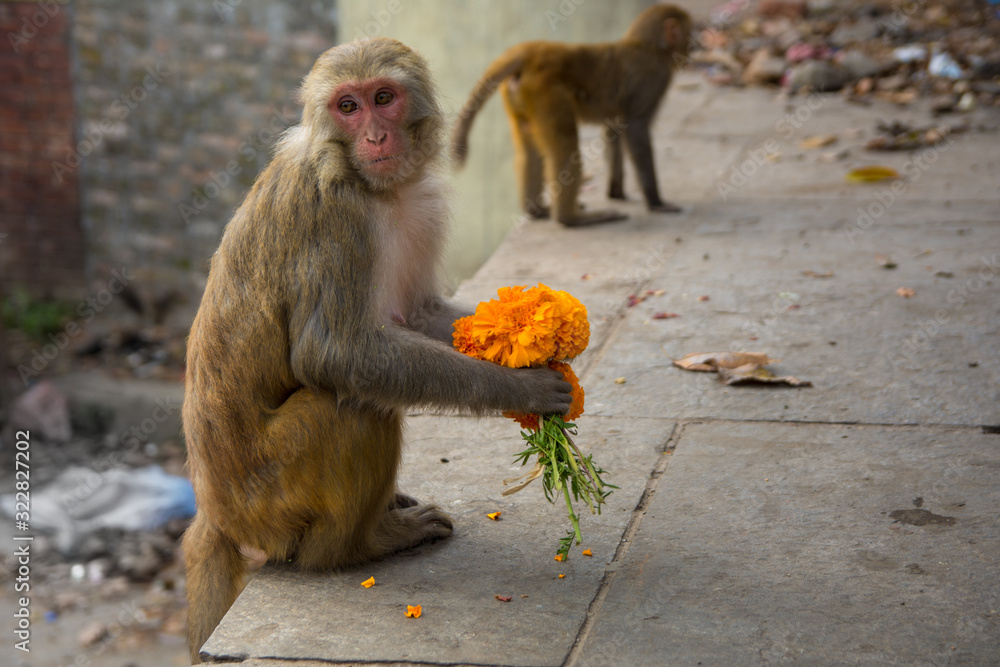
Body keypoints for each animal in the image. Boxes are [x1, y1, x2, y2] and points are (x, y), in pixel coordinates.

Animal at [181, 38, 573, 663]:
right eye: (347, 106)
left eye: (383, 98)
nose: (375, 136)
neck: (373, 187)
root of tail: (214, 514)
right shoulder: (332, 211)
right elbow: (334, 354)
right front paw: (526, 387)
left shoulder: (419, 207)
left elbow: (418, 315)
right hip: (267, 499)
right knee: (349, 407)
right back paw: (361, 546)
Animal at [451, 4, 692, 227]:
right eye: (692, 31)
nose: (695, 45)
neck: (649, 46)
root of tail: (534, 52)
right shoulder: (654, 77)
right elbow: (636, 129)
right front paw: (656, 202)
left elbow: (613, 130)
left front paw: (616, 191)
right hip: (547, 92)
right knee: (566, 149)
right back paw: (571, 218)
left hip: (520, 98)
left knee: (530, 152)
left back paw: (537, 210)